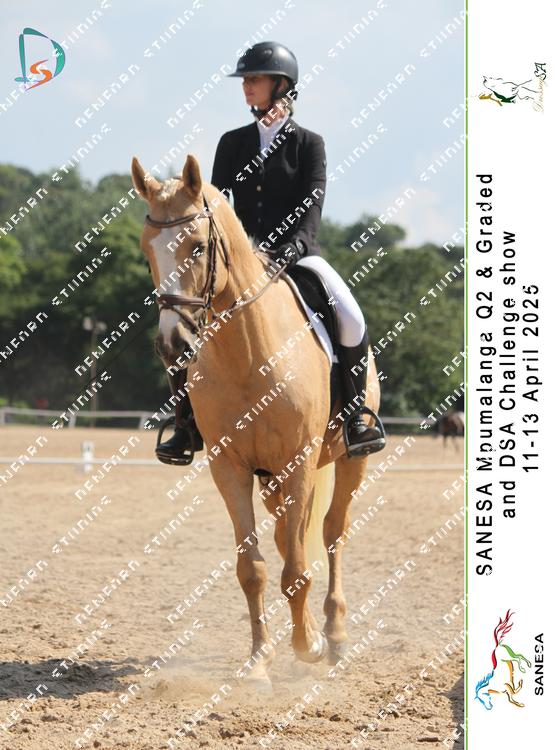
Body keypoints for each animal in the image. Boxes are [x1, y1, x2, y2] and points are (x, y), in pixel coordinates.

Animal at [131, 154, 383, 689]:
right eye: (147, 252)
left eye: (198, 246)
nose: (172, 346)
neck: (248, 354)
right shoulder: (229, 467)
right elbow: (255, 568)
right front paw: (259, 661)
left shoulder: (299, 462)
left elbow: (298, 563)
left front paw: (308, 645)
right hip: (270, 480)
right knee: (290, 538)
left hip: (346, 461)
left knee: (331, 533)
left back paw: (333, 634)